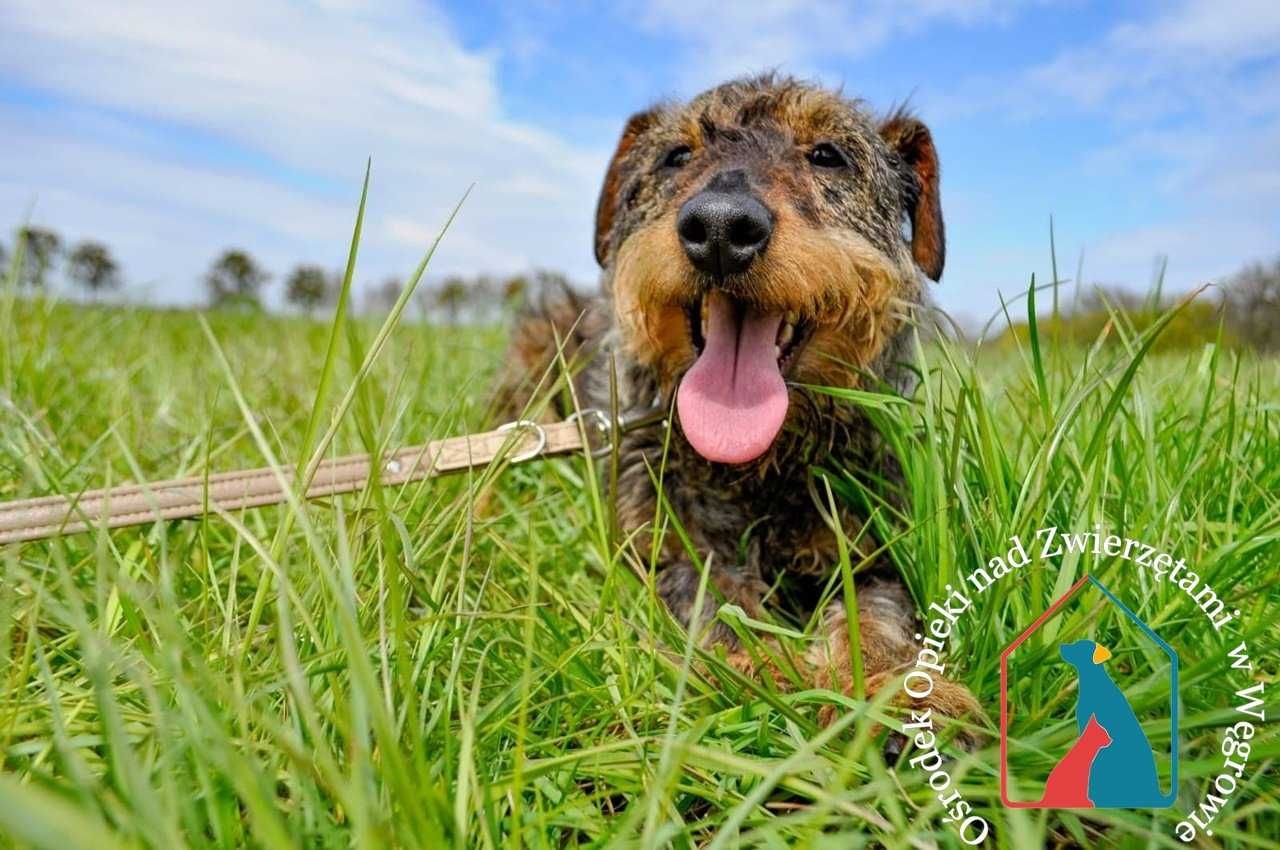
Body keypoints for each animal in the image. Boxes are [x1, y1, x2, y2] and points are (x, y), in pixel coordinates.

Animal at [499, 74, 977, 732]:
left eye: (828, 154)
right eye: (677, 156)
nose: (721, 229)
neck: (762, 465)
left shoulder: (876, 551)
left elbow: (878, 617)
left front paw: (898, 695)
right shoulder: (667, 550)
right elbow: (719, 610)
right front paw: (765, 675)